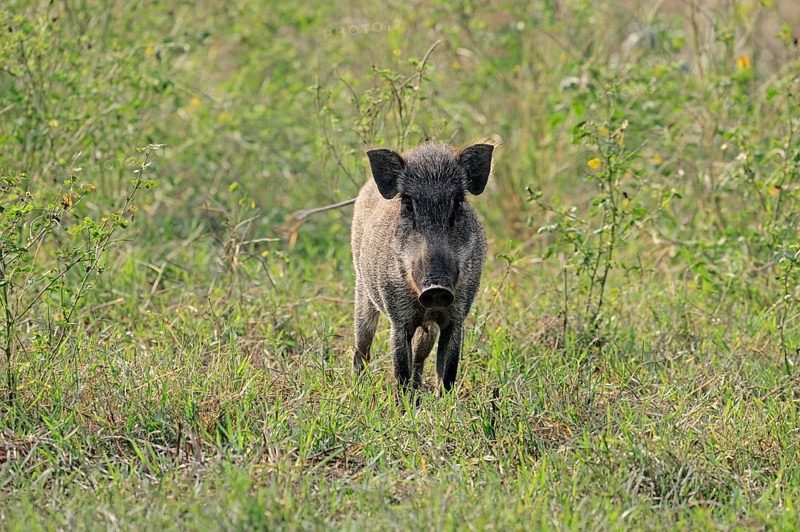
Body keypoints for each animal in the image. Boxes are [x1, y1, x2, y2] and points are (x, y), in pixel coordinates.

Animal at [351, 141, 494, 391]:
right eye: (408, 204)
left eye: (458, 203)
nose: (436, 288)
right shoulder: (398, 320)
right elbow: (400, 372)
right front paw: (404, 401)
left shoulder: (456, 319)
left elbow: (447, 374)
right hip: (362, 293)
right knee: (361, 348)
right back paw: (359, 388)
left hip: (429, 328)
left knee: (419, 356)